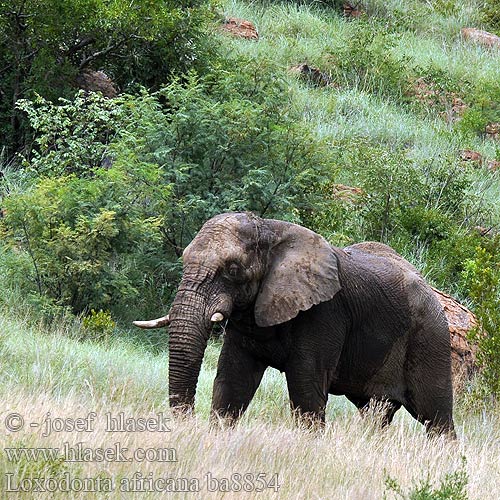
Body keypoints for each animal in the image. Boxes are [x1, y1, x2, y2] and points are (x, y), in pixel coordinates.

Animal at [135, 213, 456, 436]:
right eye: (184, 259)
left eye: (233, 270)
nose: (188, 421)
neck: (269, 230)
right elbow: (232, 378)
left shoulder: (324, 313)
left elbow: (305, 385)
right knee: (377, 412)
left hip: (431, 337)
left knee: (436, 416)